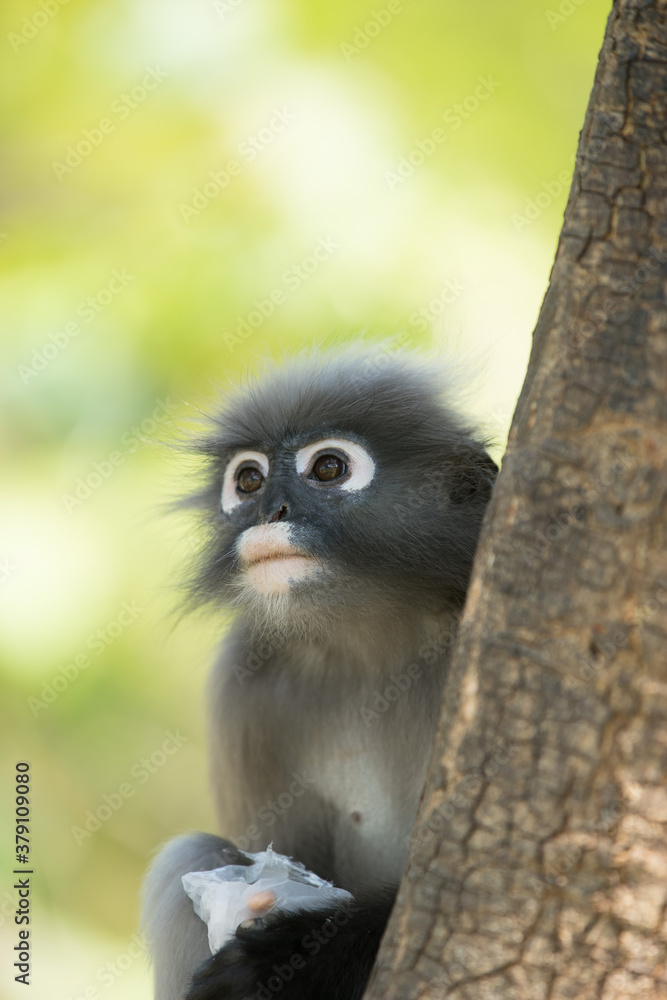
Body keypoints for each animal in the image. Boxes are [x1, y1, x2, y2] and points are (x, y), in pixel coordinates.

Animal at [143, 350, 497, 1000]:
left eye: (328, 467)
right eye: (249, 480)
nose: (269, 511)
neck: (373, 646)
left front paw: (280, 956)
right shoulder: (242, 681)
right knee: (190, 854)